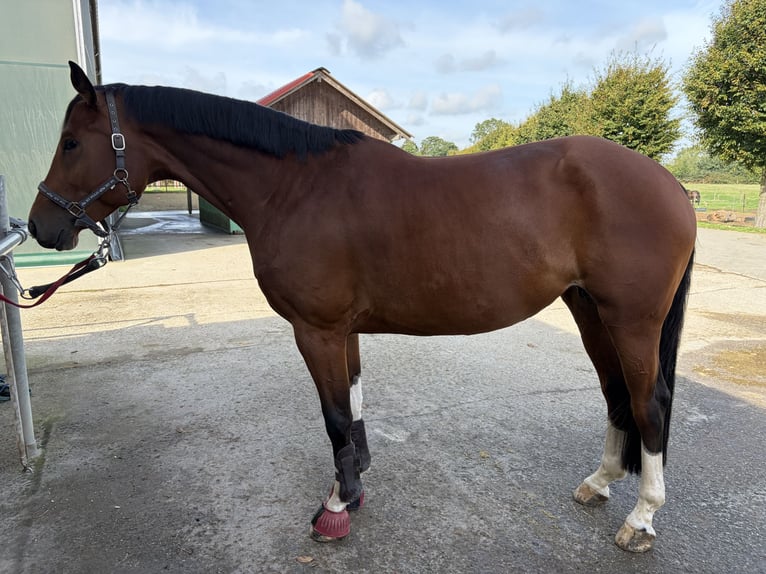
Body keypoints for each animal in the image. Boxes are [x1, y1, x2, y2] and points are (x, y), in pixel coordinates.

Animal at [28, 62, 696, 553]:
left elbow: (331, 415)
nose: (40, 227)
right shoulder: (341, 330)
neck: (295, 188)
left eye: (71, 142)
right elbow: (350, 403)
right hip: (589, 311)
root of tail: (670, 184)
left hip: (631, 320)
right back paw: (600, 483)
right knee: (615, 394)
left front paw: (336, 506)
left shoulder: (316, 330)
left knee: (649, 403)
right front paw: (356, 480)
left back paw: (641, 519)